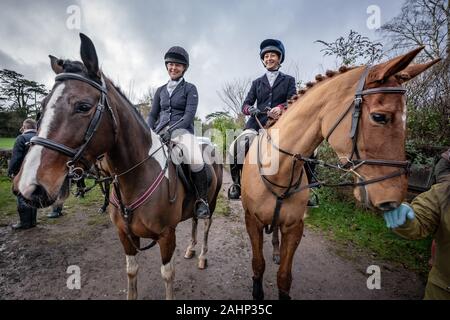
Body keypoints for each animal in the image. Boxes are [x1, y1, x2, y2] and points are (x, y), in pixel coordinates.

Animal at [13, 34, 224, 300]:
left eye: (83, 106)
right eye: (42, 105)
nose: (27, 186)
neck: (135, 179)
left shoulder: (166, 235)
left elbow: (168, 275)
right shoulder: (125, 235)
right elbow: (131, 271)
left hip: (212, 202)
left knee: (205, 225)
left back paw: (202, 256)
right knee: (195, 222)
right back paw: (191, 249)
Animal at [241, 47, 442, 300]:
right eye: (379, 117)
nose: (393, 199)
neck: (279, 171)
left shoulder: (295, 226)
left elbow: (284, 276)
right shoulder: (252, 221)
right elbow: (258, 263)